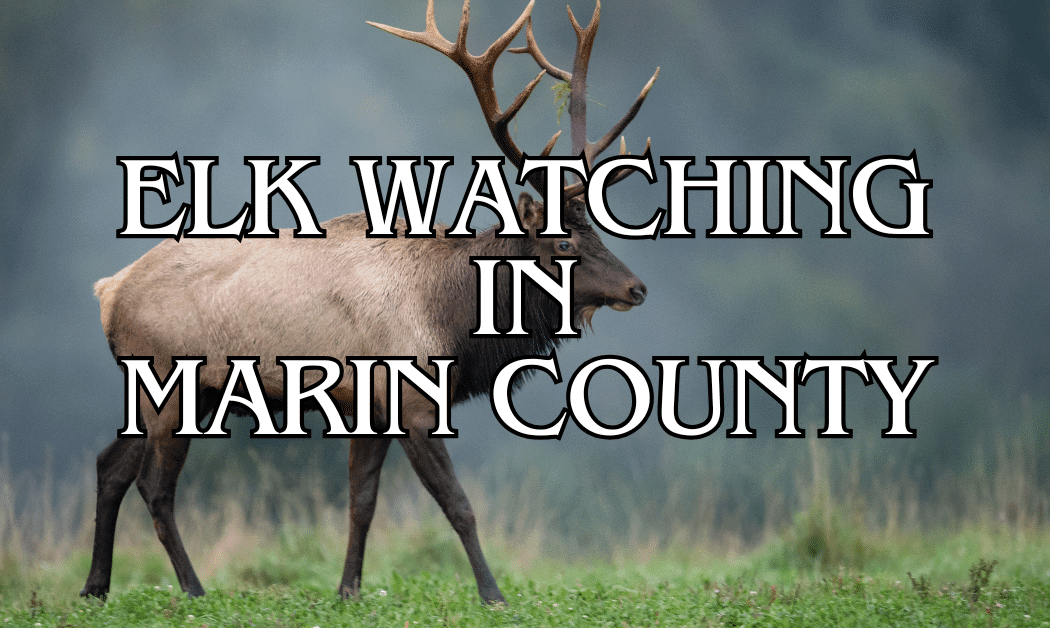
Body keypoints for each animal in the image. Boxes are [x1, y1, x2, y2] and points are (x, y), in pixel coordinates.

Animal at [80, 0, 658, 606]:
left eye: (599, 232)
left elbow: (362, 501)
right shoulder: (413, 401)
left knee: (109, 468)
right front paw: (493, 593)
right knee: (154, 486)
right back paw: (192, 589)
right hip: (172, 387)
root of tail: (107, 290)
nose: (636, 288)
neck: (454, 319)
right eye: (564, 243)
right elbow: (458, 505)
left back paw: (95, 586)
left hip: (167, 394)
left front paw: (348, 589)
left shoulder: (370, 410)